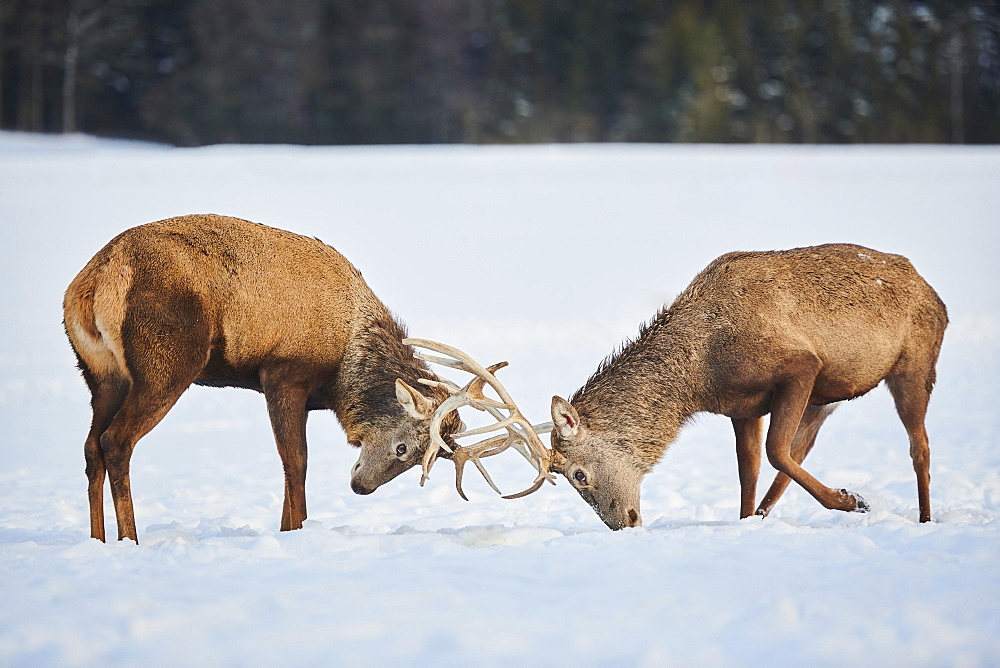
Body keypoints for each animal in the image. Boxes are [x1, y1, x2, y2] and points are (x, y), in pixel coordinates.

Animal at [64, 214, 462, 544]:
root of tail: (94, 282)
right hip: (165, 364)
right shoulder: (283, 375)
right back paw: (129, 539)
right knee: (115, 440)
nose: (361, 487)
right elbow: (296, 461)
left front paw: (288, 528)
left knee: (90, 445)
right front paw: (296, 530)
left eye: (421, 462)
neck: (342, 369)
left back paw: (97, 539)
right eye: (403, 448)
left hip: (102, 376)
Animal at [412, 245, 944, 532]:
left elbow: (774, 451)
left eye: (578, 475)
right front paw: (747, 521)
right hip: (829, 396)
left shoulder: (801, 363)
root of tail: (934, 293)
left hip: (915, 363)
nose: (621, 522)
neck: (701, 373)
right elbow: (750, 467)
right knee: (806, 445)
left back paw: (922, 517)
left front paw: (851, 500)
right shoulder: (742, 406)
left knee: (919, 446)